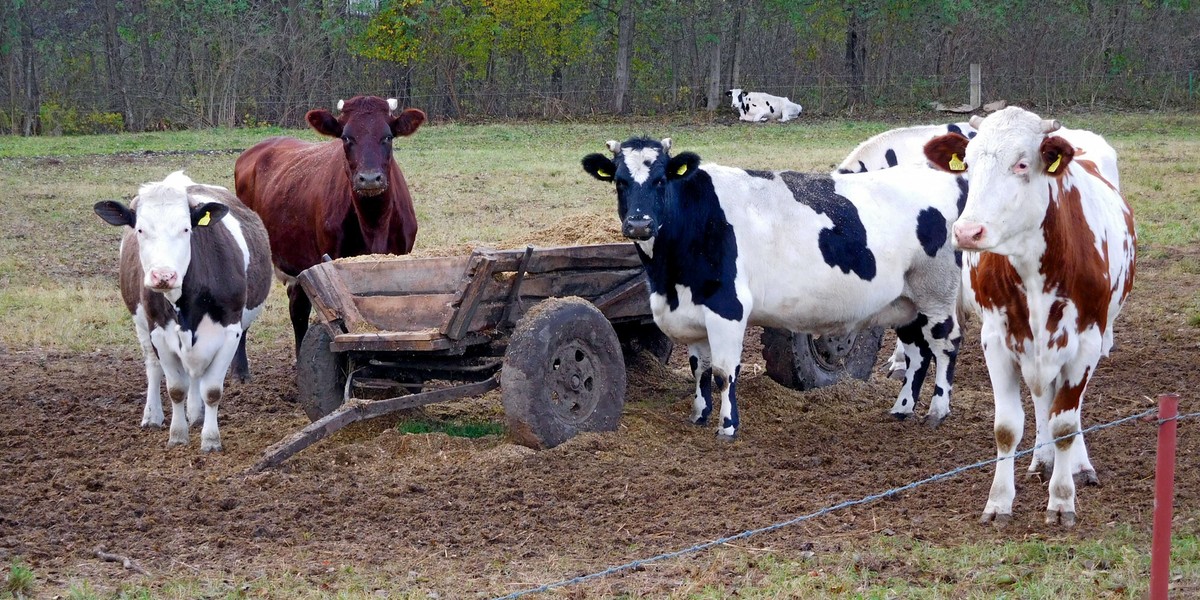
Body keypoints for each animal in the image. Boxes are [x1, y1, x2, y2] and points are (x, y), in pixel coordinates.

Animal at [94, 171, 272, 451]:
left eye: (186, 228)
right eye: (140, 229)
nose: (163, 275)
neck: (187, 304)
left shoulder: (230, 330)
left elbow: (212, 390)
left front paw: (210, 439)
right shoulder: (158, 331)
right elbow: (176, 388)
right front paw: (177, 435)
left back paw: (196, 414)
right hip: (141, 324)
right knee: (153, 366)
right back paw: (153, 415)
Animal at [580, 138, 964, 439]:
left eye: (661, 180)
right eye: (619, 182)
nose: (639, 224)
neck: (670, 279)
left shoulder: (727, 307)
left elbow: (723, 372)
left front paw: (727, 427)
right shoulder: (691, 314)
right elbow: (699, 369)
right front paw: (699, 416)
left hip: (936, 292)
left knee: (945, 344)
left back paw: (937, 411)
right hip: (906, 303)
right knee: (918, 353)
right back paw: (902, 408)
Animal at [926, 106, 1132, 525]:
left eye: (1022, 163)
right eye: (968, 163)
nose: (968, 232)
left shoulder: (1086, 340)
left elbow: (1066, 422)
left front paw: (1062, 499)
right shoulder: (998, 340)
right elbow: (1007, 427)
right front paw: (999, 501)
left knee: (1066, 408)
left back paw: (1077, 465)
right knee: (1042, 400)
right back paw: (1042, 457)